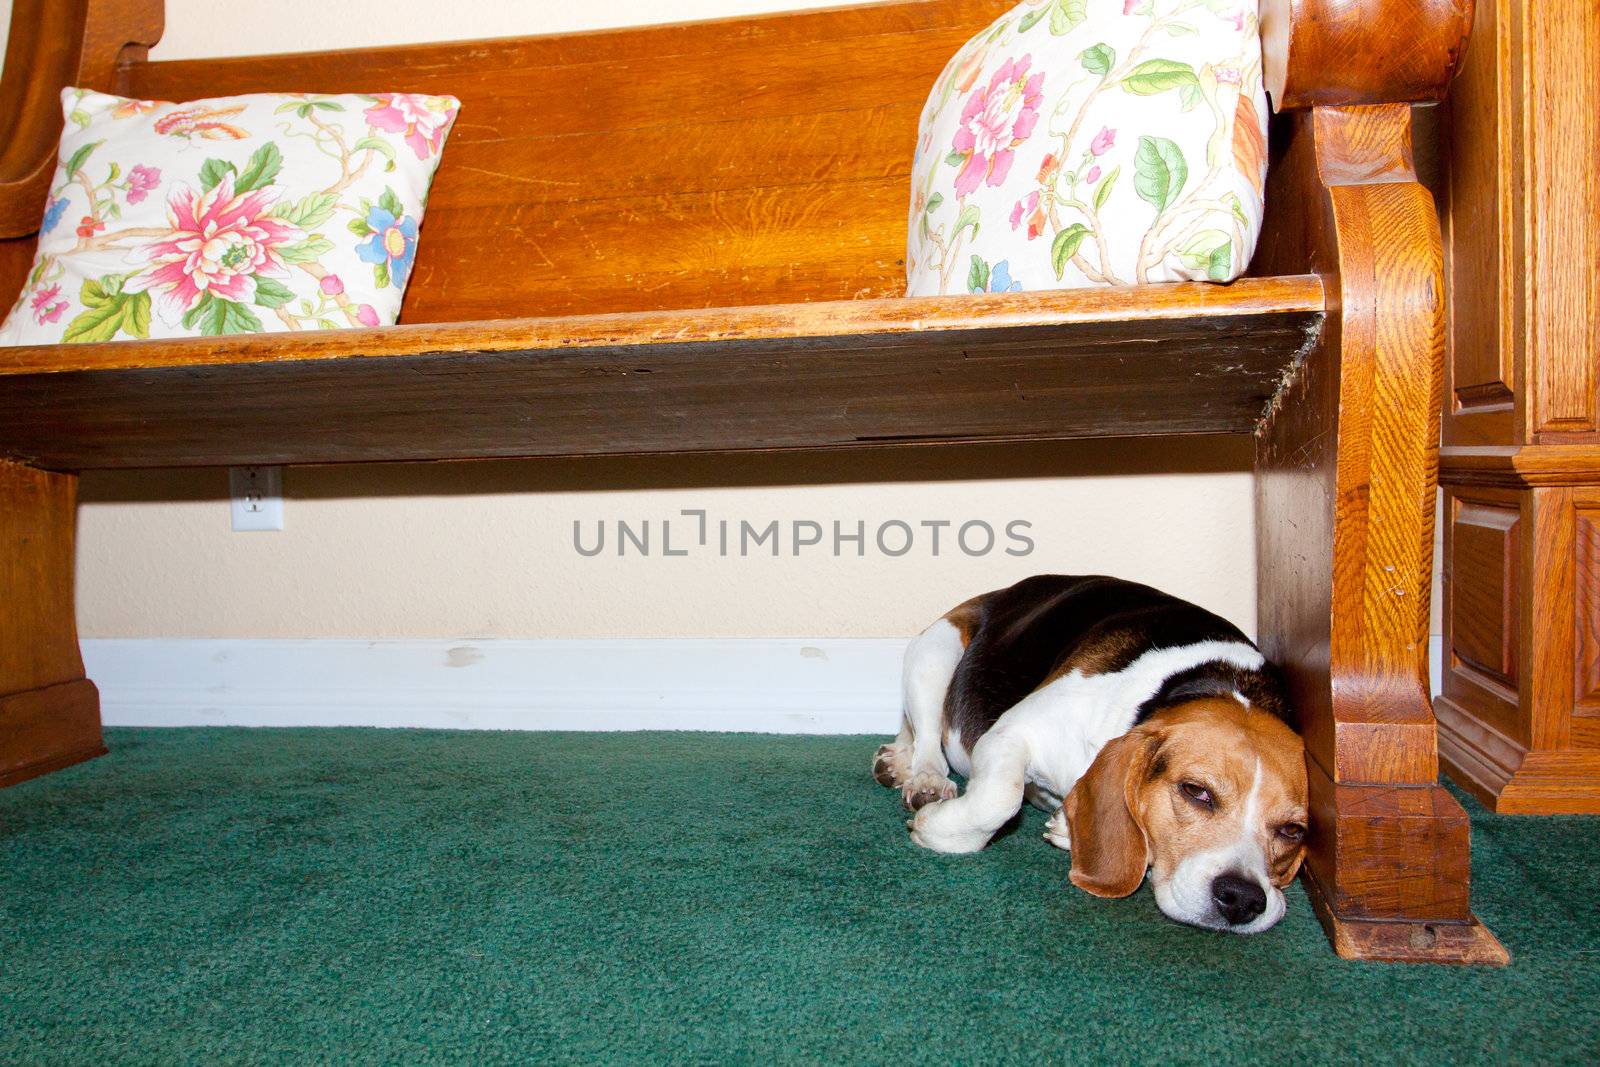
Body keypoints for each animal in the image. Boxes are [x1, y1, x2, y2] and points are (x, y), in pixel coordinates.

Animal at [876, 575, 1312, 934]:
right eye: (1196, 791)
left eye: (1293, 831)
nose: (1242, 899)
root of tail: (1001, 593)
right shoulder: (1011, 733)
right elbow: (999, 800)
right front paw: (935, 829)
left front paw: (1066, 830)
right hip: (933, 653)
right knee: (928, 738)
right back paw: (925, 779)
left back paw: (896, 760)